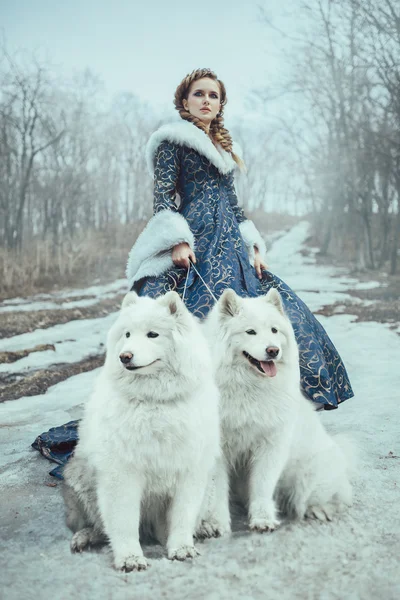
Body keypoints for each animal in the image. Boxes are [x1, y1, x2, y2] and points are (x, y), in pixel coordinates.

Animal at [61, 290, 222, 572]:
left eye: (152, 334)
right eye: (127, 334)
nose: (124, 356)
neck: (155, 402)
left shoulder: (189, 471)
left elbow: (183, 516)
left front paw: (181, 548)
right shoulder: (122, 474)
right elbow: (123, 522)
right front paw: (130, 558)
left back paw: (203, 528)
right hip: (77, 475)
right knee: (98, 526)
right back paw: (84, 537)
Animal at [205, 288, 354, 532]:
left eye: (274, 330)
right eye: (250, 332)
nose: (273, 350)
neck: (249, 387)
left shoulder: (271, 444)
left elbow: (262, 485)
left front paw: (263, 519)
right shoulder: (218, 449)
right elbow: (216, 491)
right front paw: (215, 523)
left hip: (309, 471)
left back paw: (319, 509)